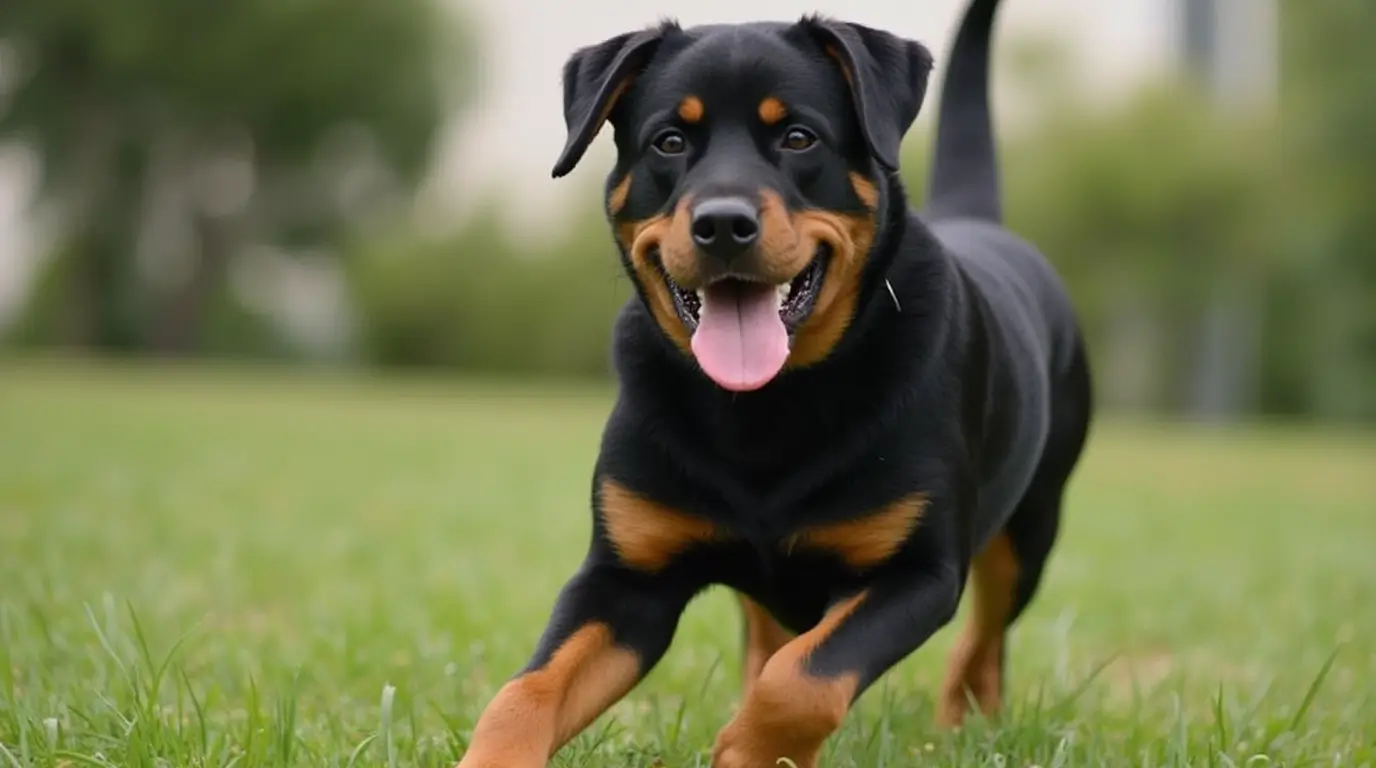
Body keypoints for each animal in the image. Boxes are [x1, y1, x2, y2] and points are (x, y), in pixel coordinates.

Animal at [456, 0, 1089, 765]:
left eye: (798, 137)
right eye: (670, 141)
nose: (723, 223)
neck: (762, 410)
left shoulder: (918, 572)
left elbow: (805, 679)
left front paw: (748, 749)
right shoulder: (625, 579)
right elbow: (526, 691)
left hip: (1031, 527)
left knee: (985, 640)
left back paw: (966, 725)